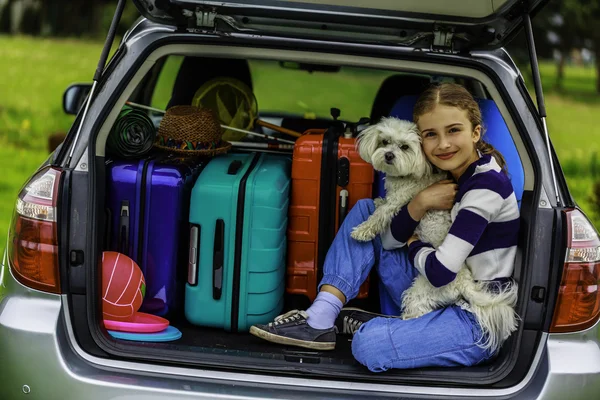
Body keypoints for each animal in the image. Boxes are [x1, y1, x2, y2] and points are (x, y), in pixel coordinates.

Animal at [350, 117, 516, 352]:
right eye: (384, 141)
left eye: (404, 147)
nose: (389, 155)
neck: (409, 174)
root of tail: (465, 283)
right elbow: (382, 205)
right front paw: (378, 200)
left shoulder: (400, 202)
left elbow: (380, 216)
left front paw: (362, 230)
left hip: (422, 290)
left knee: (417, 311)